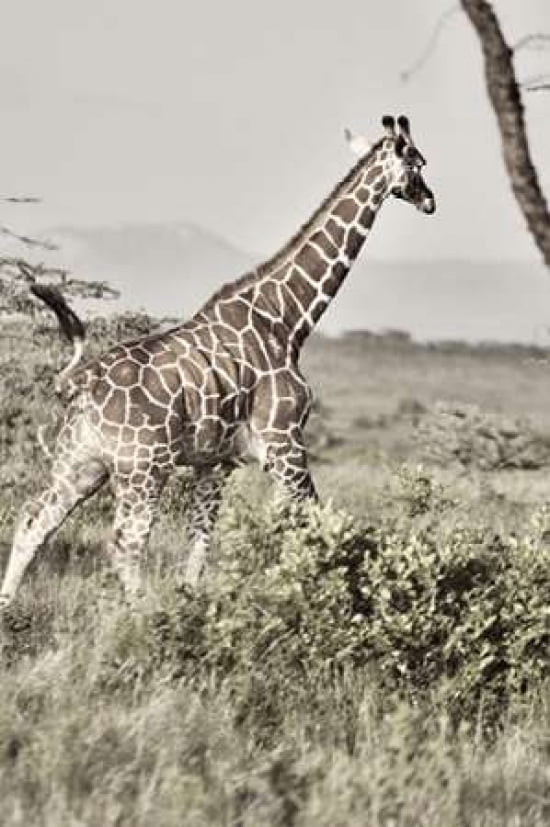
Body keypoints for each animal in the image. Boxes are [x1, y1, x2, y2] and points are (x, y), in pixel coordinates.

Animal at [0, 114, 435, 607]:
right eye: (418, 163)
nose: (430, 201)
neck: (288, 320)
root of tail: (80, 383)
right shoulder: (284, 441)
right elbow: (308, 521)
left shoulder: (217, 461)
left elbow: (201, 543)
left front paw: (194, 600)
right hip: (143, 467)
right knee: (125, 543)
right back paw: (141, 614)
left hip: (81, 462)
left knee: (34, 518)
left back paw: (8, 608)